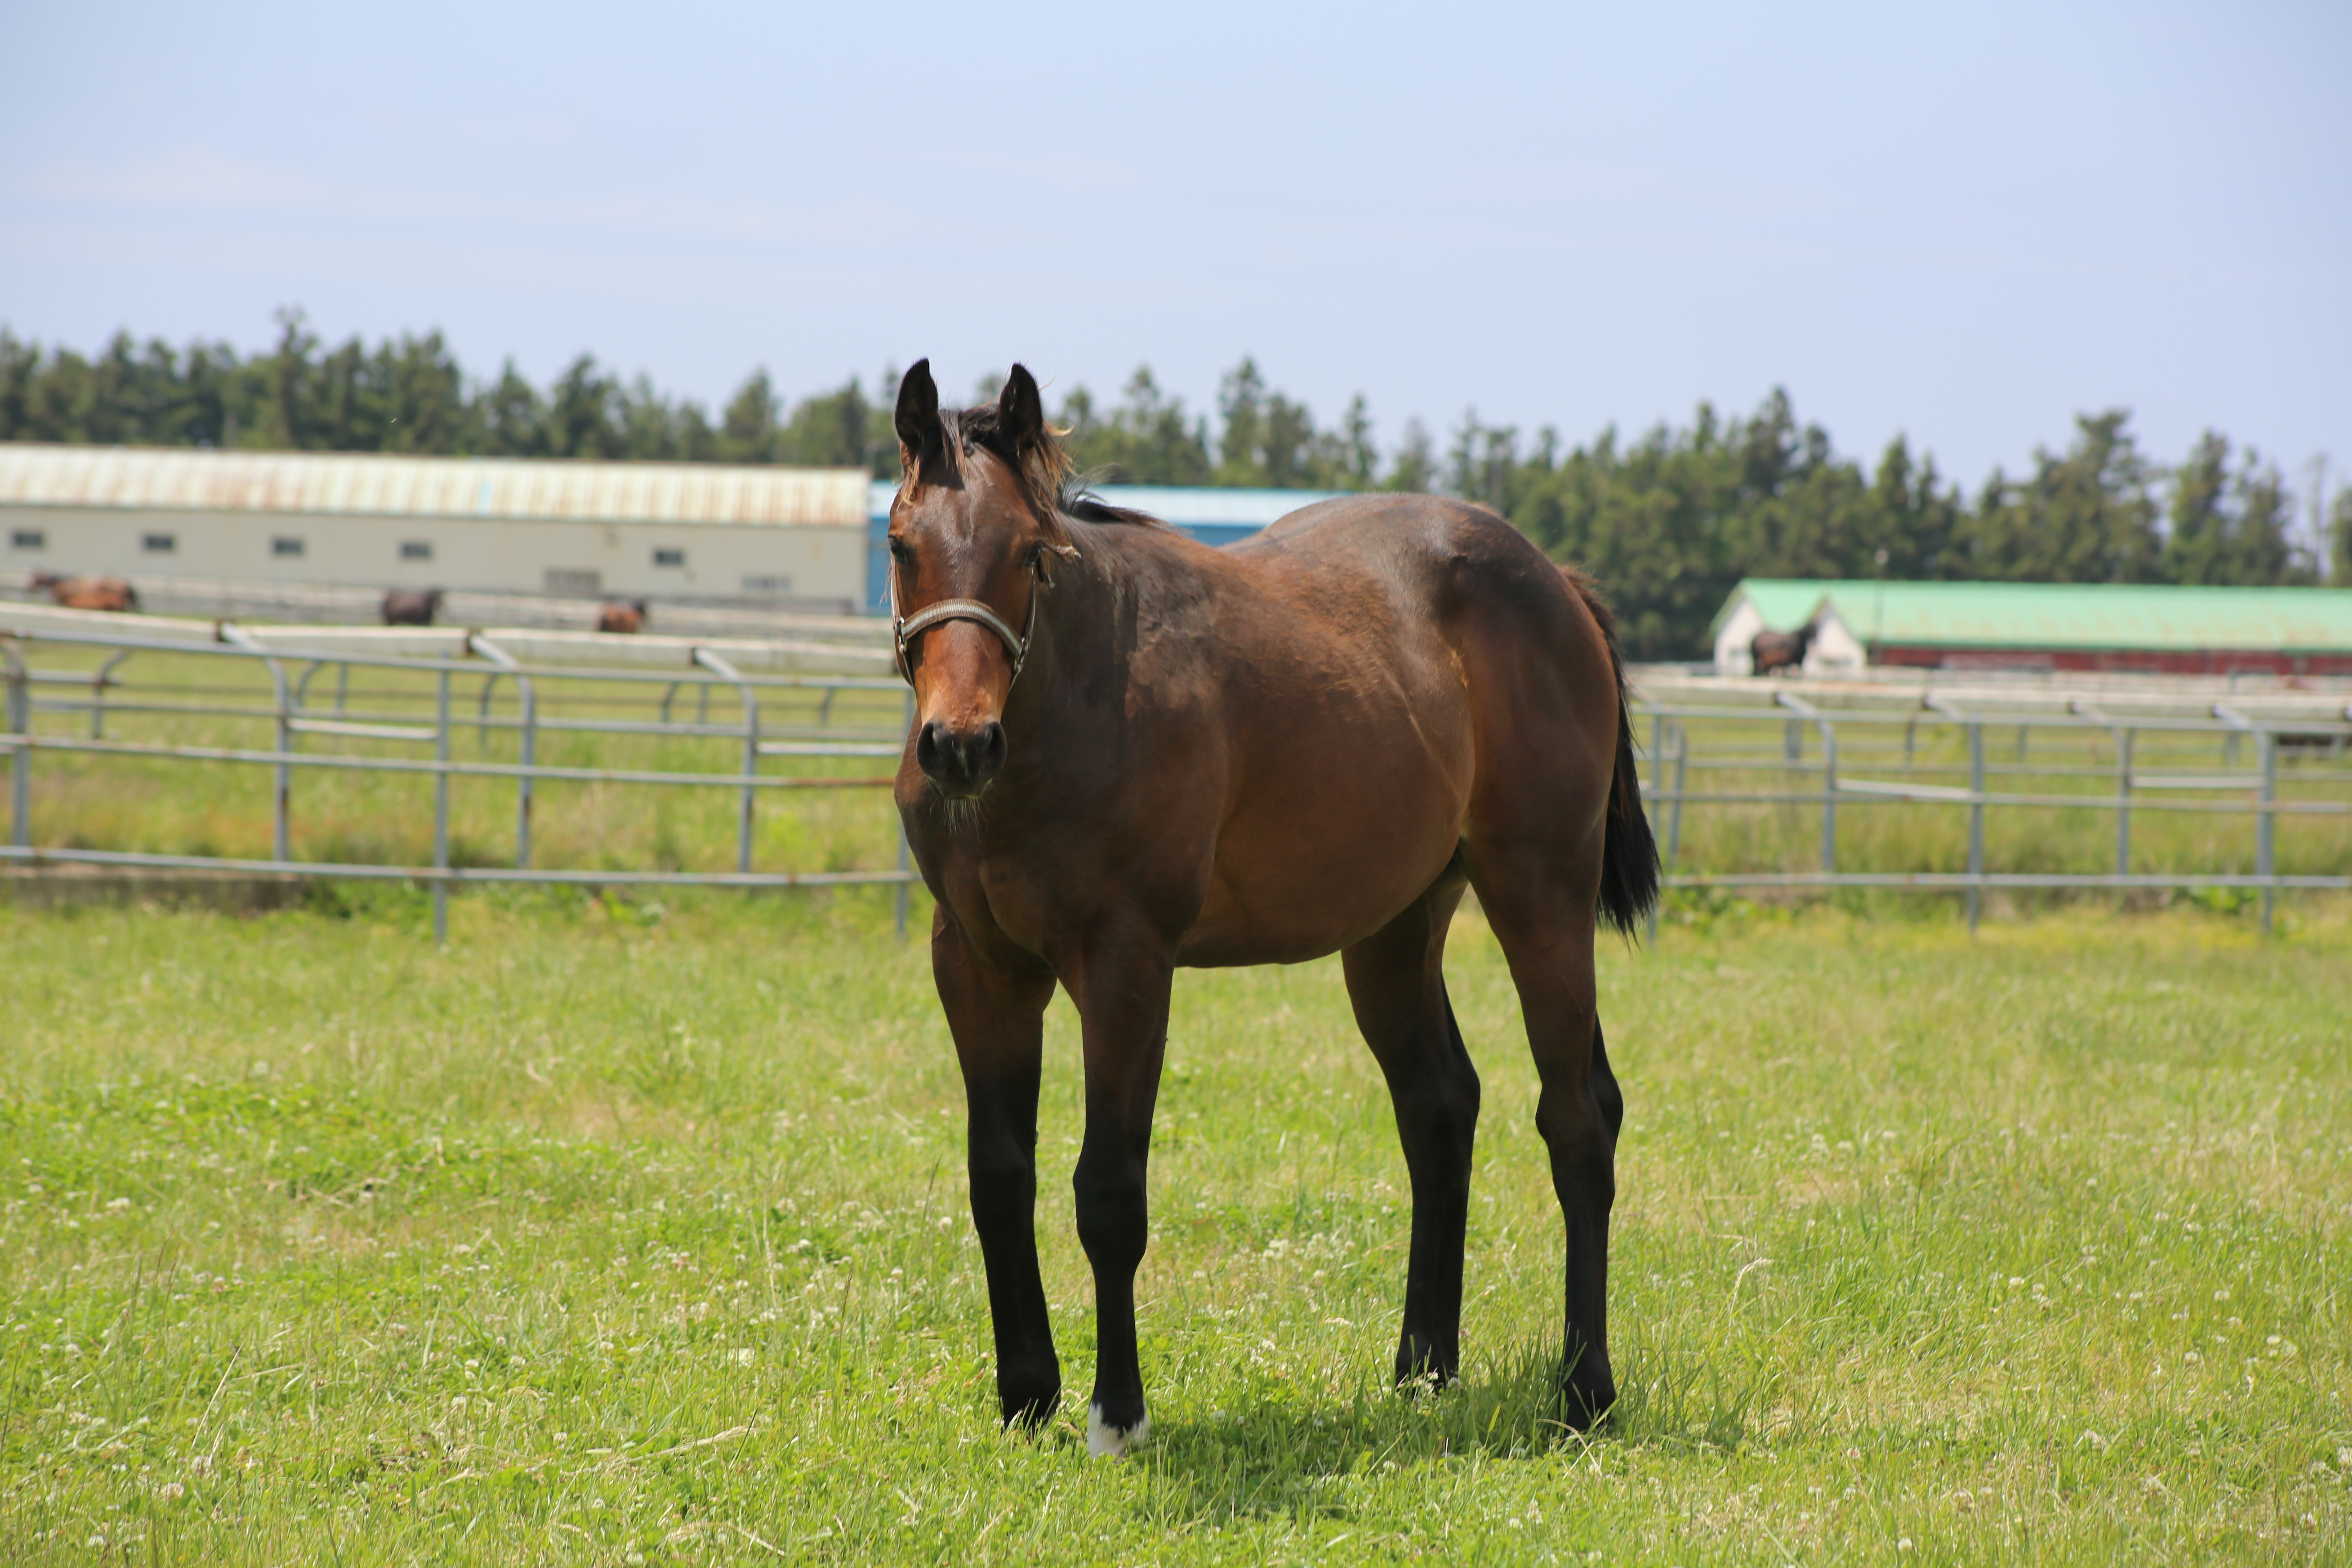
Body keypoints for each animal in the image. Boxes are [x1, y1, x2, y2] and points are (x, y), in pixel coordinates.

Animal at [381, 588, 444, 625]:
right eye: (435, 598)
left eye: (441, 597)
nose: (439, 606)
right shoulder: (417, 622)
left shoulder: (427, 622)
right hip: (391, 620)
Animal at [889, 362, 1665, 1457]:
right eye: (900, 544)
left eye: (1030, 554)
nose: (959, 746)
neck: (1074, 700)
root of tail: (1555, 581)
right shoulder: (978, 965)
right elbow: (998, 1176)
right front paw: (1026, 1396)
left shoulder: (1125, 965)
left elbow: (1108, 1191)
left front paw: (1116, 1414)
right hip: (1394, 932)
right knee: (1439, 1107)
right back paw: (1422, 1370)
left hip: (1540, 896)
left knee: (1577, 1118)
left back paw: (1584, 1391)